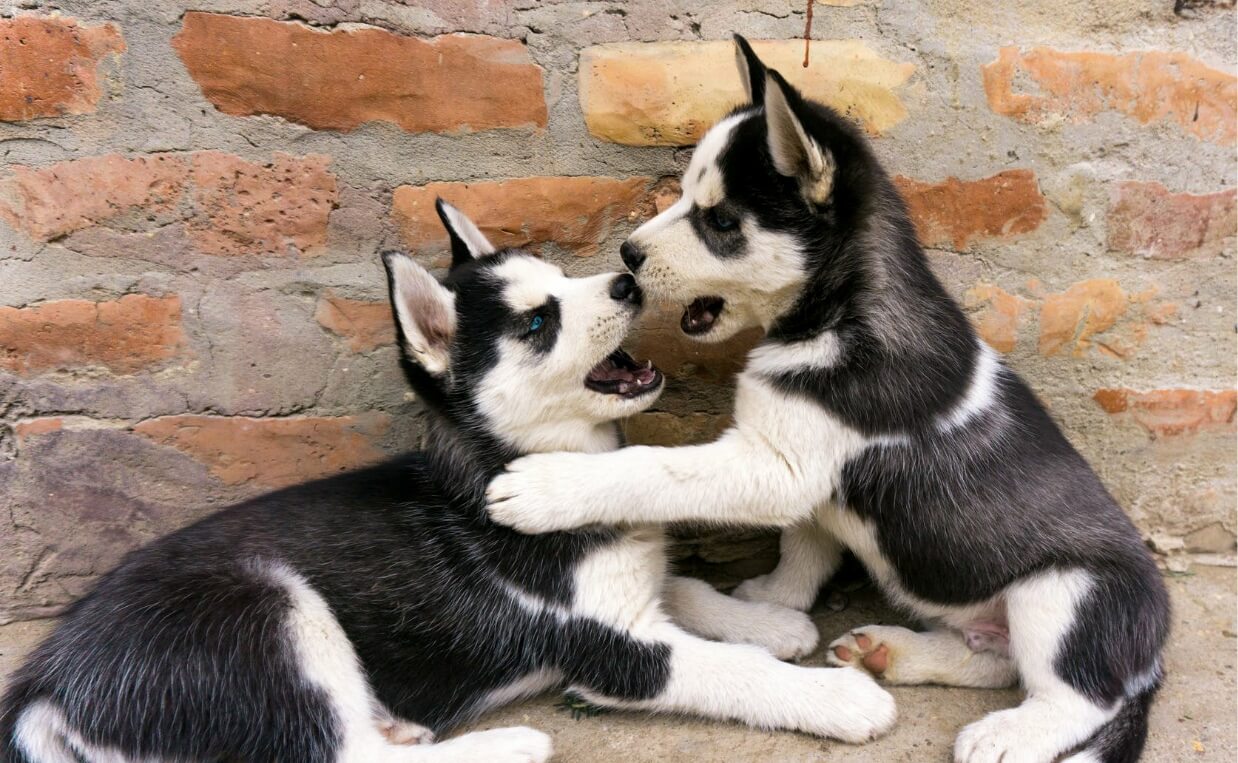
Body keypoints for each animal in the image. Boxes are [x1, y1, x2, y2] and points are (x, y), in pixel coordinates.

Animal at [0, 203, 896, 763]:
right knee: (341, 752)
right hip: (270, 608)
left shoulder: (622, 591)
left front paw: (767, 619)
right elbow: (731, 671)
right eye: (537, 323)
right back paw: (506, 744)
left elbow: (686, 588)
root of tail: (47, 686)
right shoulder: (614, 651)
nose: (627, 280)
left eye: (561, 279)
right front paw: (839, 696)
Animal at [485, 38, 1168, 763]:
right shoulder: (804, 477)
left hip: (1066, 595)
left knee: (1074, 696)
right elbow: (802, 546)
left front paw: (547, 486)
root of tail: (1150, 658)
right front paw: (775, 602)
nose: (628, 253)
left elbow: (652, 469)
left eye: (720, 220)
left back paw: (1005, 735)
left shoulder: (779, 466)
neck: (837, 313)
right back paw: (888, 652)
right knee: (995, 661)